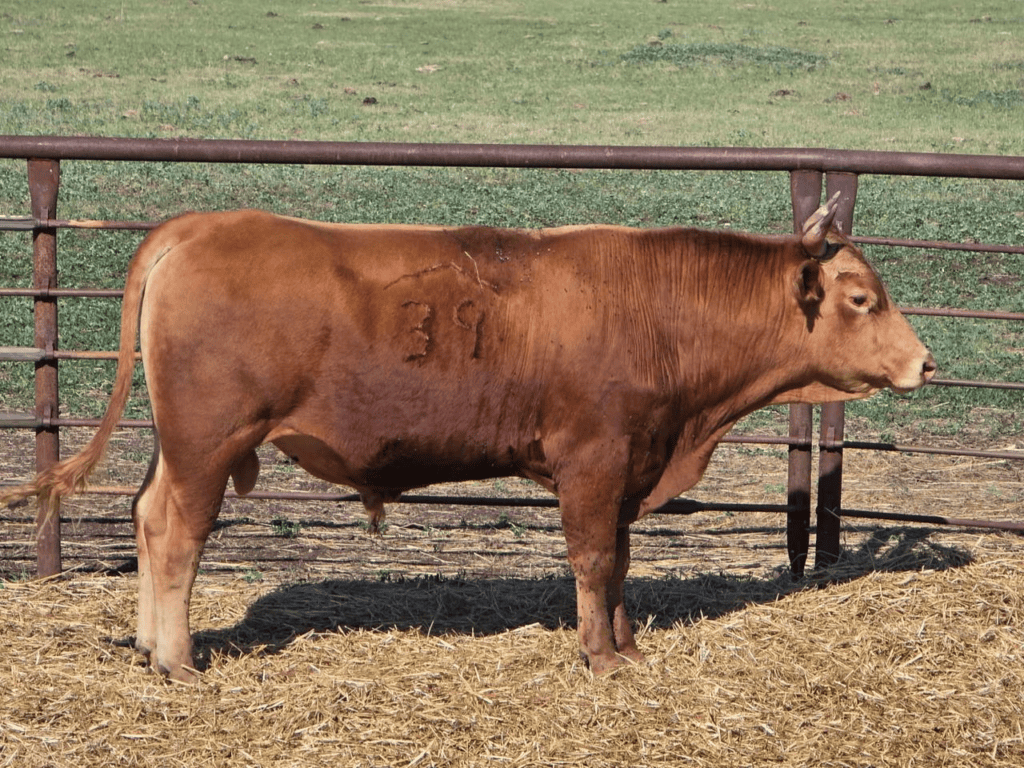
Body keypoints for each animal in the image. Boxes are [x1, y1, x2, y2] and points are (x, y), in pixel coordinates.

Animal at [2, 194, 935, 682]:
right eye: (862, 299)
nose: (925, 362)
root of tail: (197, 224)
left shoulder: (628, 465)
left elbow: (620, 561)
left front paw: (628, 646)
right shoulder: (592, 458)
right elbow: (593, 559)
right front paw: (601, 658)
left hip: (182, 444)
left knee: (145, 513)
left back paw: (150, 648)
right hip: (209, 439)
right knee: (177, 533)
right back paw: (179, 660)